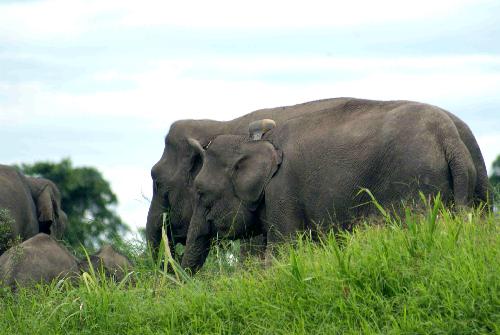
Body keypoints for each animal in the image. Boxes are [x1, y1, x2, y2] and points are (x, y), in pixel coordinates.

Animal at [146, 98, 490, 262]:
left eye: (159, 183)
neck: (228, 125)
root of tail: (449, 139)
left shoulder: (281, 192)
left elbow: (274, 253)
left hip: (415, 186)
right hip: (479, 182)